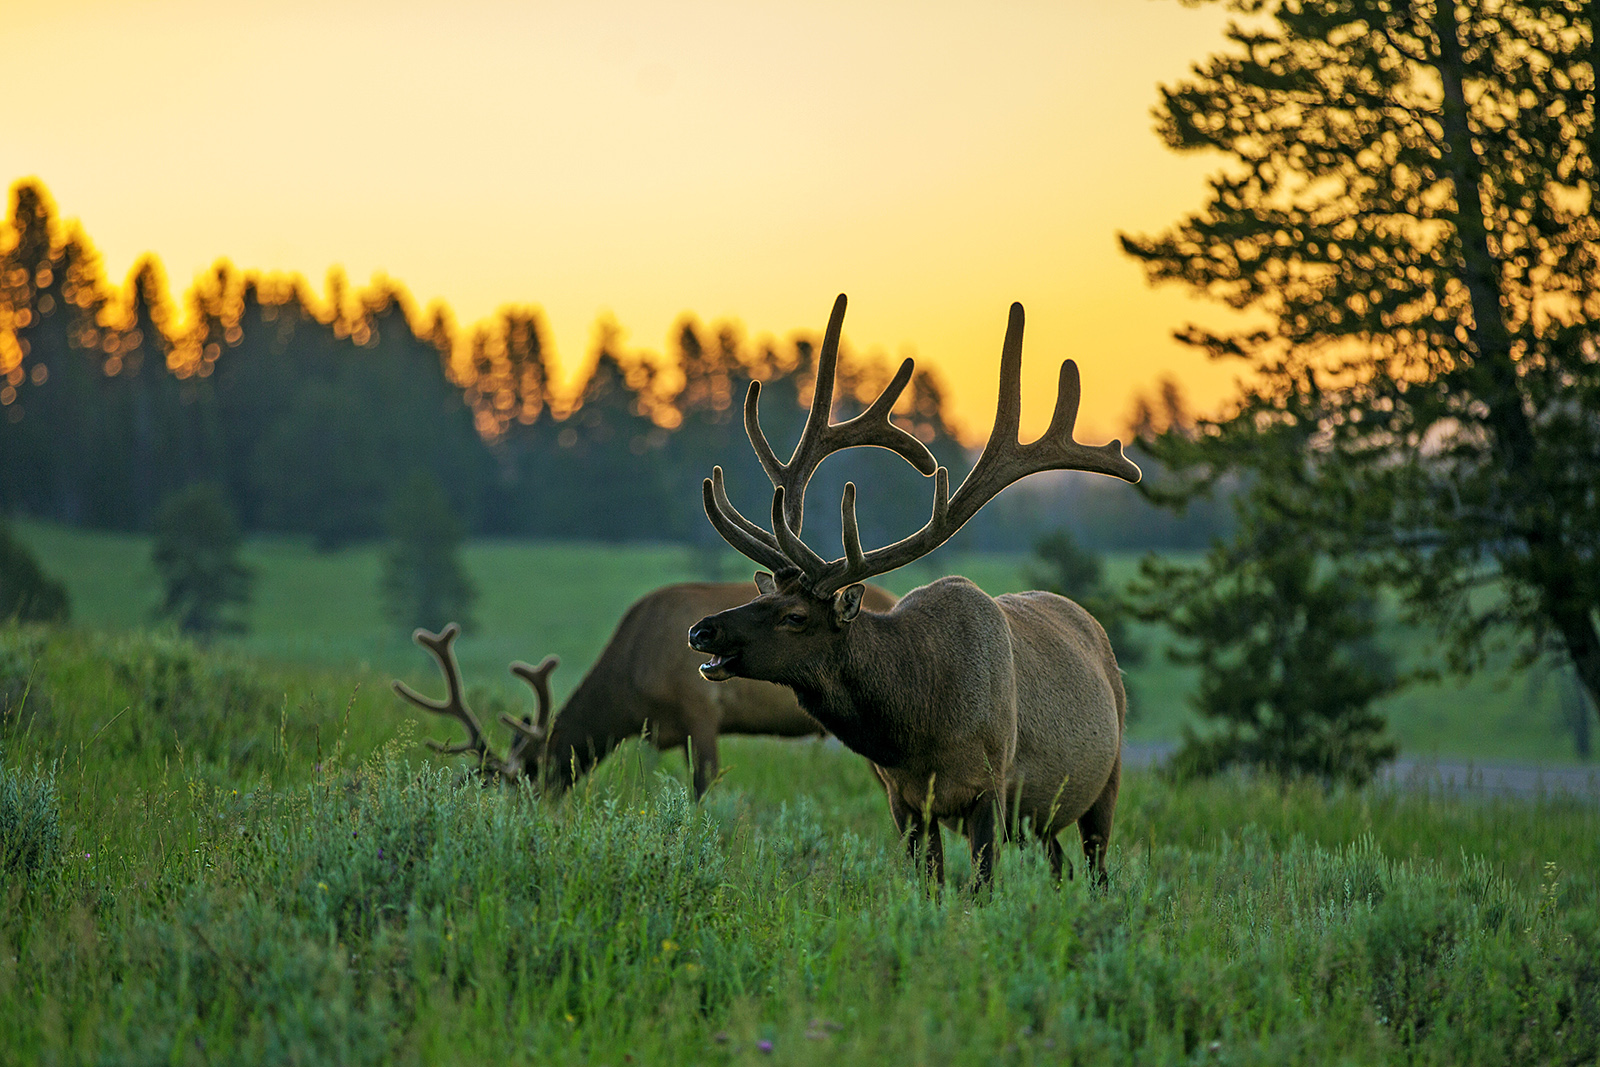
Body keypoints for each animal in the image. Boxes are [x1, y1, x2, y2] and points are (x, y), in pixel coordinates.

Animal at [687, 294, 1141, 887]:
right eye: (763, 596)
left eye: (795, 616)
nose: (702, 630)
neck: (919, 728)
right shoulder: (902, 799)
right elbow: (929, 887)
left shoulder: (990, 788)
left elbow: (982, 888)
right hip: (1040, 822)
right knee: (1060, 865)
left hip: (1107, 779)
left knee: (1097, 870)